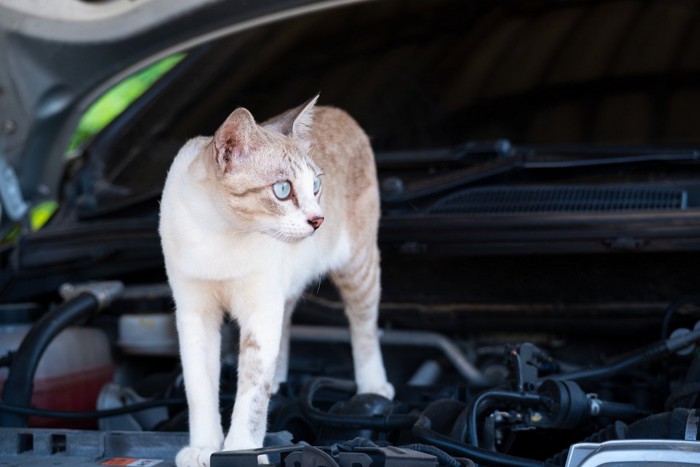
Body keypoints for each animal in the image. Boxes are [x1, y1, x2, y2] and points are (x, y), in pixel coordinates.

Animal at [159, 96, 396, 467]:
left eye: (315, 187)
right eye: (283, 190)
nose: (318, 219)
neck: (219, 233)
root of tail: (338, 111)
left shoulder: (260, 311)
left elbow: (252, 394)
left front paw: (240, 450)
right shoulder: (194, 313)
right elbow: (199, 388)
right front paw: (203, 446)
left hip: (358, 269)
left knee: (364, 328)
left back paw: (373, 386)